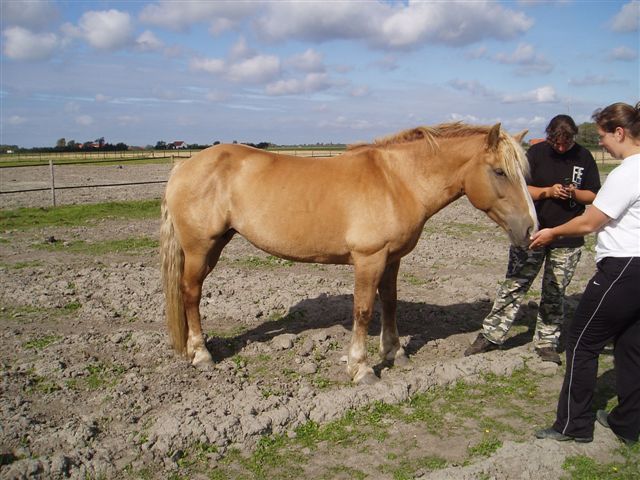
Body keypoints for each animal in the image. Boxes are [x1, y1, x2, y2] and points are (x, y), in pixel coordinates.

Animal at [160, 122, 536, 384]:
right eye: (500, 171)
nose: (532, 229)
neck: (397, 181)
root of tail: (183, 167)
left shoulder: (392, 259)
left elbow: (390, 304)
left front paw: (395, 352)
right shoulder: (369, 259)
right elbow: (364, 310)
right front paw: (361, 368)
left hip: (215, 245)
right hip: (200, 248)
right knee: (191, 294)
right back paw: (202, 355)